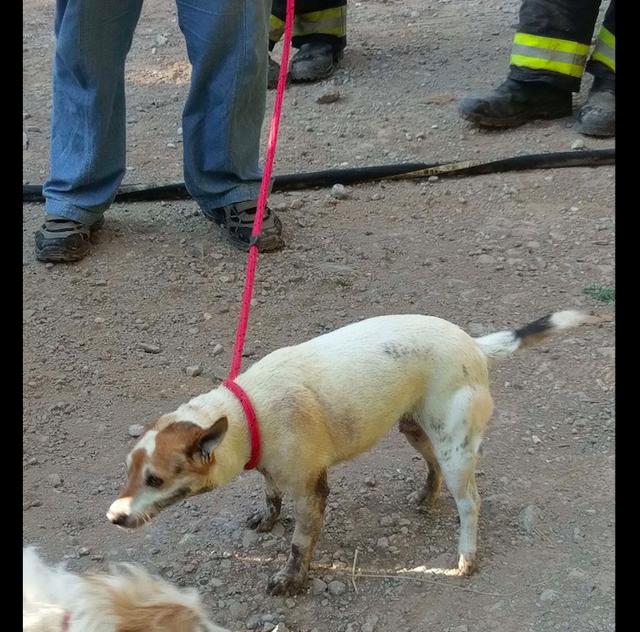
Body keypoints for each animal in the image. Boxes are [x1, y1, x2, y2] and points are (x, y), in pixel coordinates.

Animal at [109, 314, 596, 596]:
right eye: (128, 470)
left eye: (155, 479)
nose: (113, 517)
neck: (249, 413)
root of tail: (474, 344)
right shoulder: (273, 469)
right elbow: (270, 495)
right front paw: (266, 519)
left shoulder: (312, 489)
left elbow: (299, 544)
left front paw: (291, 580)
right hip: (415, 428)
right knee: (432, 467)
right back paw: (426, 498)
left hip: (455, 447)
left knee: (470, 503)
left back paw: (466, 557)